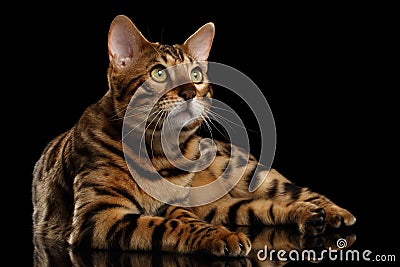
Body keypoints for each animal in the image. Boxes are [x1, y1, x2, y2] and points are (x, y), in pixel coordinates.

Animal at [32, 14, 356, 258]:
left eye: (197, 75)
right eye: (158, 73)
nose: (190, 91)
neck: (158, 153)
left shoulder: (169, 206)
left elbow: (180, 221)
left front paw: (216, 235)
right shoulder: (97, 217)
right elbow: (165, 226)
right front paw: (222, 237)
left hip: (245, 170)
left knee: (293, 192)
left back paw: (331, 212)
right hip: (222, 206)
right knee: (262, 207)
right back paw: (308, 216)